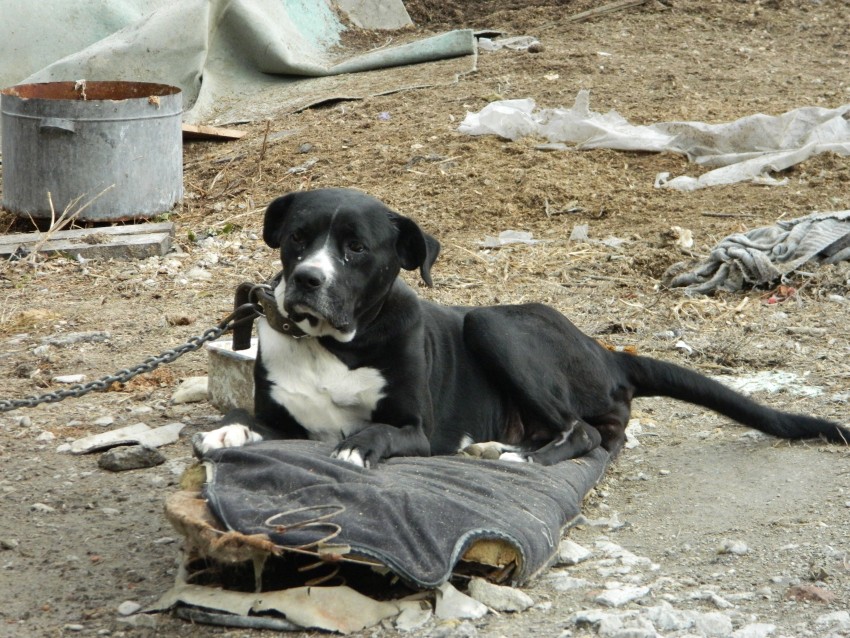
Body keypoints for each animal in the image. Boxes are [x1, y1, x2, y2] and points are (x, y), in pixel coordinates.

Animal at [197, 188, 840, 468]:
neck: (332, 343)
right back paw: (498, 444)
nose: (306, 278)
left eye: (355, 248)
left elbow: (377, 431)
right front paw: (226, 432)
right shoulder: (285, 419)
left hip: (493, 325)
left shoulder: (416, 430)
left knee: (589, 434)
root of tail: (606, 350)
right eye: (297, 238)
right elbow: (248, 417)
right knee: (585, 430)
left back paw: (522, 459)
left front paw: (357, 446)